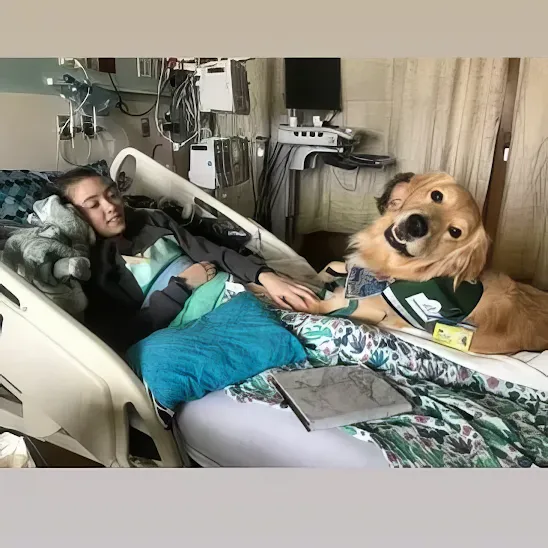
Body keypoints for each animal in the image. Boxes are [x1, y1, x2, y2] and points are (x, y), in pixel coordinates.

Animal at [311, 172, 548, 355]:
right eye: (437, 195)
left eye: (455, 232)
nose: (416, 225)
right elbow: (334, 265)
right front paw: (323, 275)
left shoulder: (368, 309)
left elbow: (320, 304)